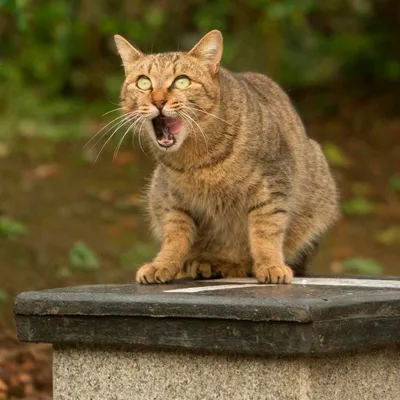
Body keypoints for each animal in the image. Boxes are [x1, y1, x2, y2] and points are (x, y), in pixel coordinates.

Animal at [114, 28, 340, 284]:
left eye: (182, 81)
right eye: (143, 82)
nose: (158, 101)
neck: (197, 159)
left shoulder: (272, 186)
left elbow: (266, 231)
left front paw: (270, 264)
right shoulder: (174, 199)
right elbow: (174, 237)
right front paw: (163, 264)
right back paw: (207, 263)